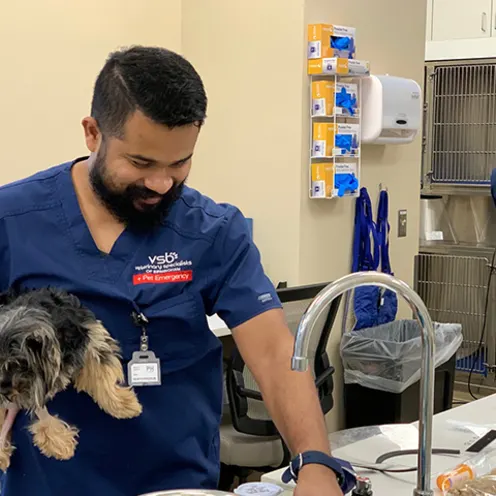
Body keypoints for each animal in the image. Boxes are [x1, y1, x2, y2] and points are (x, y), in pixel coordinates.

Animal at [0, 286, 142, 468]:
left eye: (17, 363)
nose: (5, 392)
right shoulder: (34, 385)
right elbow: (40, 408)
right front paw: (58, 441)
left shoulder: (89, 337)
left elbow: (101, 374)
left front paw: (123, 404)